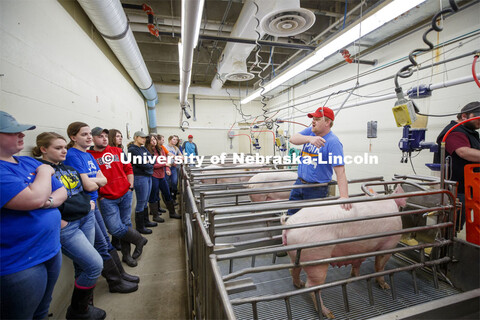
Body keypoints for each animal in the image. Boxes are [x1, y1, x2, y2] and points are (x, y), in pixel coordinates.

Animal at [280, 186, 406, 318]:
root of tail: (288, 225)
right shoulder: (389, 244)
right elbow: (380, 267)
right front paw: (386, 286)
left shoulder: (359, 249)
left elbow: (357, 263)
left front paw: (356, 276)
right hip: (317, 259)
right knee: (312, 286)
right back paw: (328, 313)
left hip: (296, 255)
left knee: (293, 270)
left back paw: (299, 284)